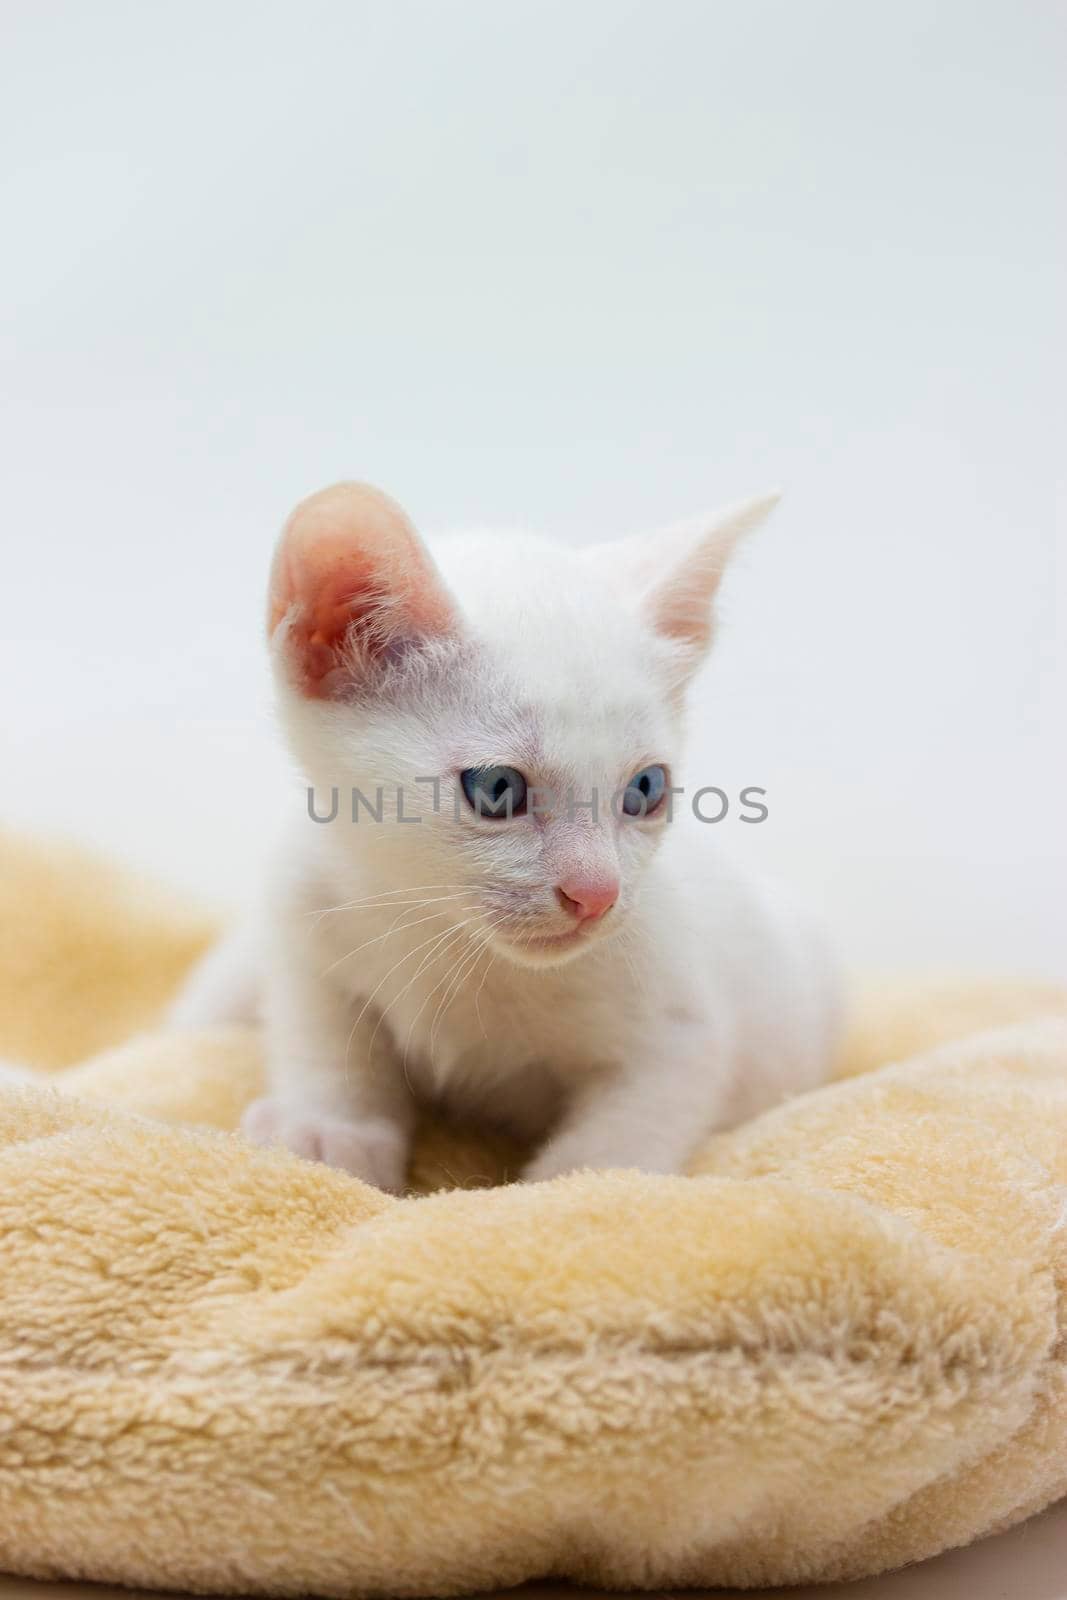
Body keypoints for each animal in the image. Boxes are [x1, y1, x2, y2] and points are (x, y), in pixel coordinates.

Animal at [173, 483, 844, 1190]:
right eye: (497, 788)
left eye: (646, 788)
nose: (596, 894)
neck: (447, 937)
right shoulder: (304, 923)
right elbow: (325, 1036)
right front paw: (332, 1130)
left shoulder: (680, 1032)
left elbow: (630, 1126)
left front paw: (575, 1188)